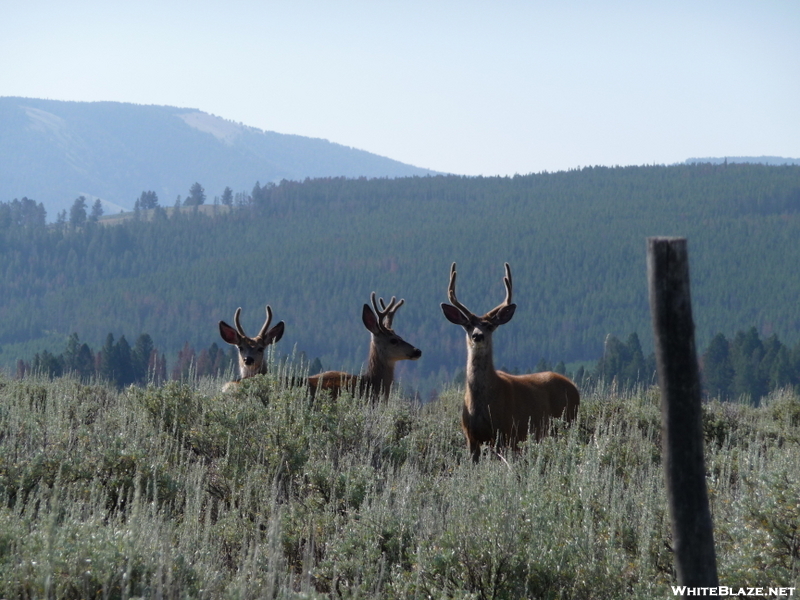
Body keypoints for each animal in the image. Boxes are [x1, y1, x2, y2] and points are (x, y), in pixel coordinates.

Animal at [440, 262, 580, 464]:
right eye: (468, 325)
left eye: (490, 325)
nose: (477, 336)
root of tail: (574, 387)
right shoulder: (471, 437)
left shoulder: (506, 432)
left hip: (567, 422)